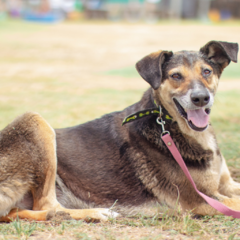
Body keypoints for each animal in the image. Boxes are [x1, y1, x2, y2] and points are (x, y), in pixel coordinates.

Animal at [0, 39, 240, 221]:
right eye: (176, 76)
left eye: (207, 72)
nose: (200, 98)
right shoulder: (200, 199)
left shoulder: (226, 185)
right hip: (35, 121)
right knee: (47, 206)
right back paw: (97, 213)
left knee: (16, 212)